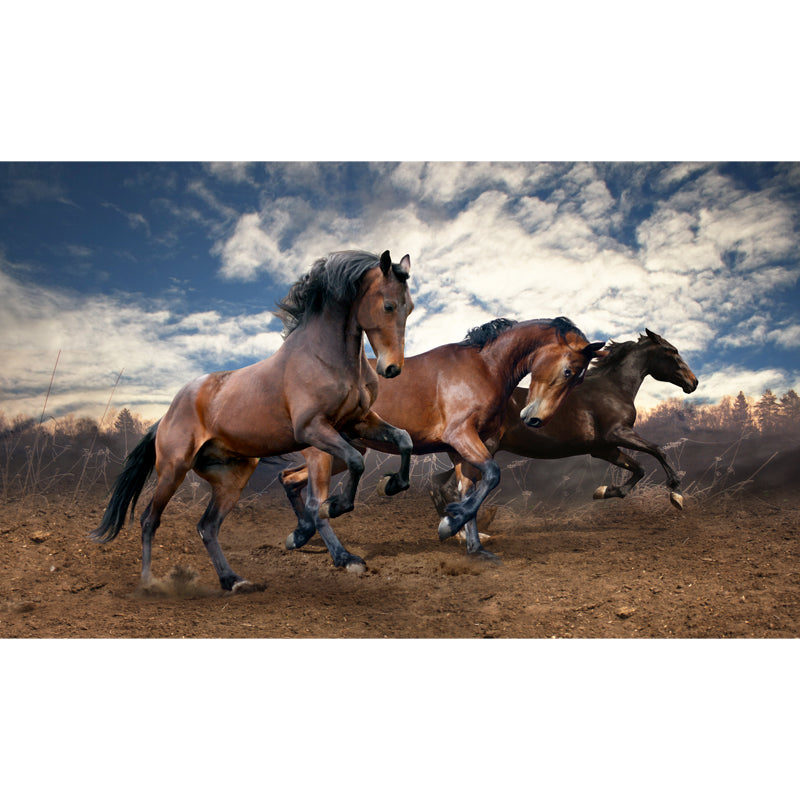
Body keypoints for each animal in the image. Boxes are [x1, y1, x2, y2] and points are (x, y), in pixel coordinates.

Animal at [89, 250, 415, 590]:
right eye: (388, 305)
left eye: (410, 307)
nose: (392, 369)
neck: (326, 357)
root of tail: (165, 415)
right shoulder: (312, 429)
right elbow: (353, 463)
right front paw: (336, 512)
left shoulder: (358, 422)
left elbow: (403, 439)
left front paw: (392, 485)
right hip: (173, 469)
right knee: (149, 520)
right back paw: (149, 582)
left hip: (233, 476)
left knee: (207, 526)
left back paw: (232, 580)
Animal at [279, 317, 606, 564]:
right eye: (568, 371)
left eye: (577, 379)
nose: (535, 419)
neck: (484, 368)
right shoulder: (461, 436)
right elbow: (492, 475)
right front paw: (449, 524)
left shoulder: (461, 450)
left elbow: (469, 489)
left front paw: (475, 547)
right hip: (324, 453)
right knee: (314, 501)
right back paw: (343, 556)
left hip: (343, 452)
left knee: (289, 478)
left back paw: (299, 535)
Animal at [429, 329, 699, 541]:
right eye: (673, 351)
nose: (693, 382)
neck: (612, 389)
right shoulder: (618, 433)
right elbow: (657, 450)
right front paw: (676, 494)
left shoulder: (604, 448)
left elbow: (638, 468)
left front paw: (604, 491)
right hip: (484, 451)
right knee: (449, 488)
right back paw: (466, 536)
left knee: (437, 484)